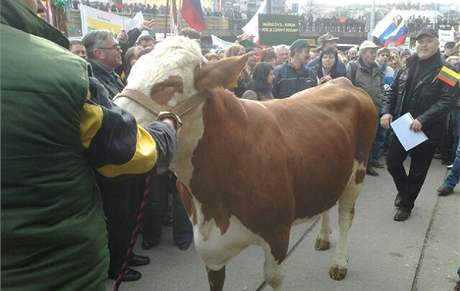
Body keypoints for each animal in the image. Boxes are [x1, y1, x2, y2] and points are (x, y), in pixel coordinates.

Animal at [115, 36, 378, 291]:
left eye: (172, 85)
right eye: (130, 75)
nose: (120, 123)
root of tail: (340, 82)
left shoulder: (277, 236)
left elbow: (273, 278)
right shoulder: (209, 248)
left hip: (357, 172)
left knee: (346, 216)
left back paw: (339, 263)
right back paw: (323, 237)